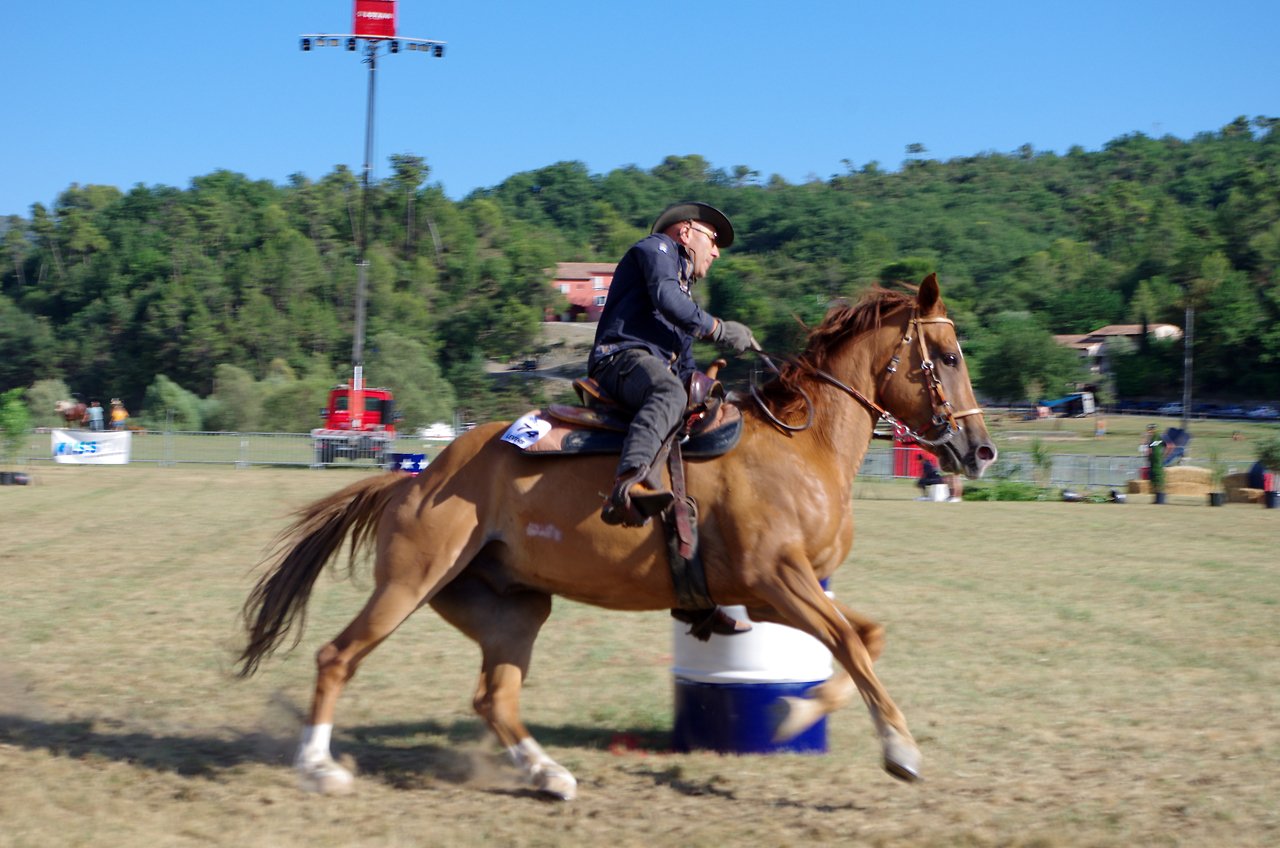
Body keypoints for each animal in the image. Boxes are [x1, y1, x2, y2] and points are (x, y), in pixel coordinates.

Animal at [238, 274, 997, 800]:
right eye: (947, 354)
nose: (981, 450)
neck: (800, 446)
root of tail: (415, 479)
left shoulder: (776, 590)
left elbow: (865, 638)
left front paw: (797, 714)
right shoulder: (775, 578)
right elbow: (850, 642)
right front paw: (898, 751)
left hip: (513, 606)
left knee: (494, 697)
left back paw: (547, 775)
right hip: (408, 582)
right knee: (337, 657)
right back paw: (319, 768)